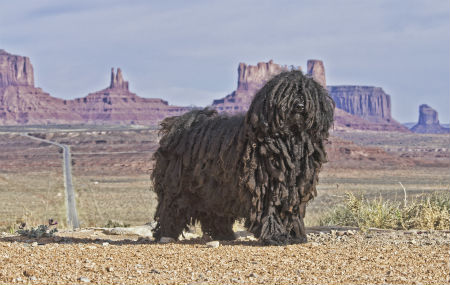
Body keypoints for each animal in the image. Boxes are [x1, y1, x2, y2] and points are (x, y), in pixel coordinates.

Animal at [151, 70, 334, 243]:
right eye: (285, 93)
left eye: (307, 94)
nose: (299, 105)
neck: (289, 140)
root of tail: (178, 125)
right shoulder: (266, 185)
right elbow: (270, 209)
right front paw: (275, 236)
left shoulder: (294, 186)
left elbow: (291, 211)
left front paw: (294, 235)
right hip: (179, 183)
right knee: (172, 207)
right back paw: (166, 233)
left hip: (216, 188)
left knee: (215, 211)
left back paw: (224, 234)